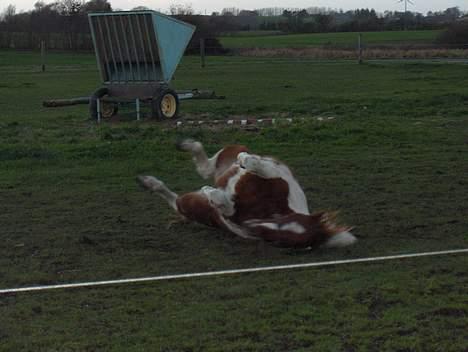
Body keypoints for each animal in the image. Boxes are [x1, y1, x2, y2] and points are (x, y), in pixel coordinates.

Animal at [137, 139, 356, 249]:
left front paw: (214, 193)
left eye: (274, 237)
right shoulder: (284, 179)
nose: (251, 226)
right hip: (226, 160)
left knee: (181, 196)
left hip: (193, 205)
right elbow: (263, 168)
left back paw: (151, 182)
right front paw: (246, 160)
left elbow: (227, 205)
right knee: (206, 165)